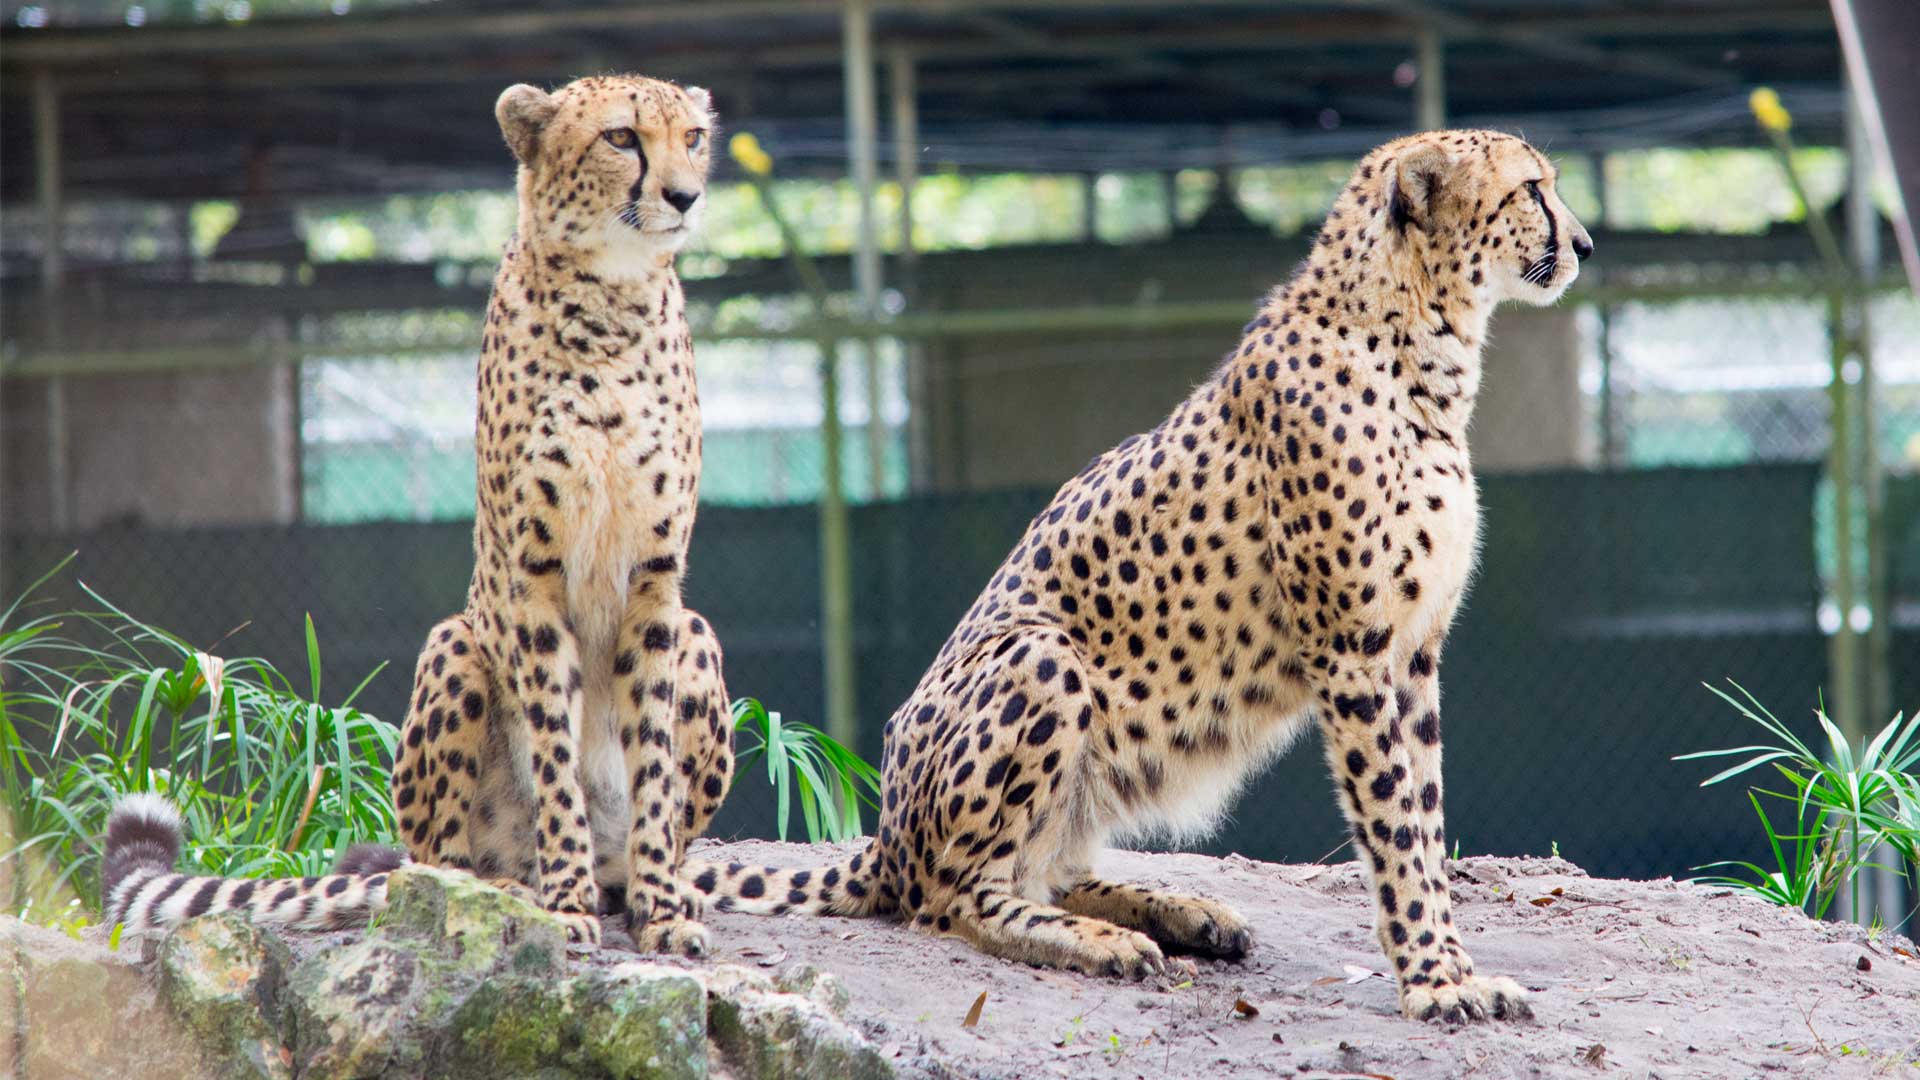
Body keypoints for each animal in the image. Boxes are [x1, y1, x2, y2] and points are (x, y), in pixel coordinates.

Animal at [105, 73, 733, 949]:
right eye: (621, 139)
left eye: (693, 137)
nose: (685, 194)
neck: (613, 302)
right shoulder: (532, 577)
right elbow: (556, 752)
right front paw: (567, 904)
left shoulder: (655, 581)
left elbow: (651, 763)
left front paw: (664, 907)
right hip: (456, 646)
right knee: (437, 863)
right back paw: (508, 891)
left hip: (697, 635)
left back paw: (629, 885)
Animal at [691, 130, 1589, 1022]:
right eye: (1532, 188)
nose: (1583, 244)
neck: (1424, 349)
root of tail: (884, 836)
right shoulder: (1352, 651)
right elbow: (1395, 822)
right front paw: (1435, 981)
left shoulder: (1414, 654)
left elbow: (1427, 819)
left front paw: (1452, 967)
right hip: (1040, 656)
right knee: (951, 896)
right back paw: (1100, 941)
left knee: (1046, 867)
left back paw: (1183, 912)